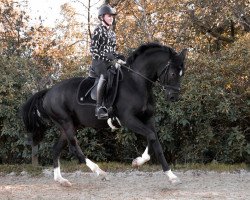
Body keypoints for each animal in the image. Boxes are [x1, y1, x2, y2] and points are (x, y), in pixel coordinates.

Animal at [21, 43, 187, 187]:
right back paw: (100, 172)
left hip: (70, 125)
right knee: (75, 149)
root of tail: (48, 92)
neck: (137, 83)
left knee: (56, 149)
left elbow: (155, 142)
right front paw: (138, 162)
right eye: (173, 73)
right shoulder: (128, 120)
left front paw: (170, 175)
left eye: (182, 74)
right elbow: (151, 137)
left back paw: (61, 180)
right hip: (66, 123)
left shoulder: (148, 119)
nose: (173, 97)